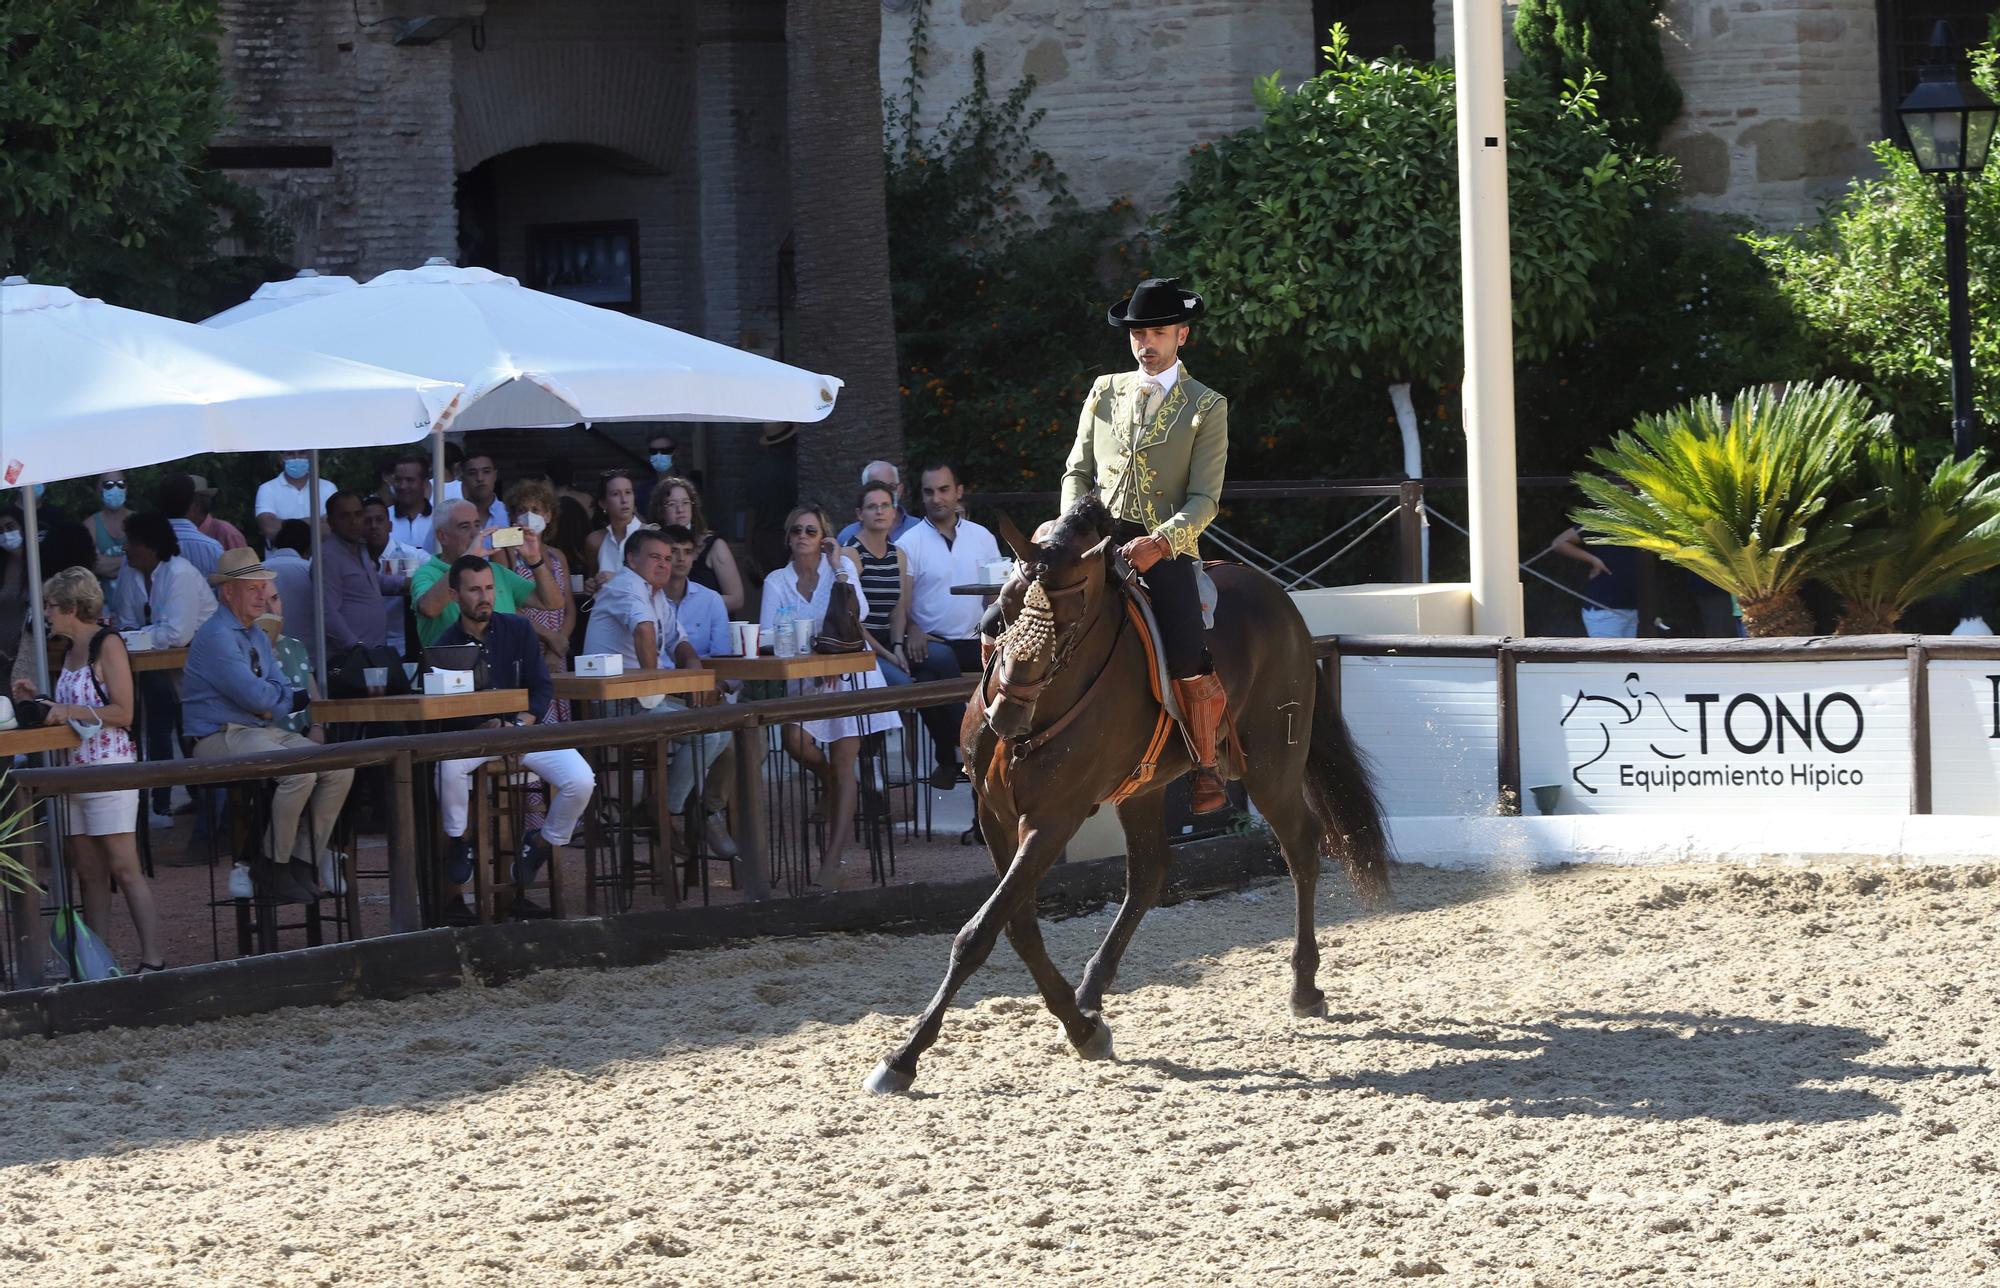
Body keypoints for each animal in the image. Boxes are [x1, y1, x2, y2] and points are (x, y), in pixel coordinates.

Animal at [860, 498, 1392, 1088]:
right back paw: (1091, 993)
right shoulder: (993, 813)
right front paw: (1080, 1027)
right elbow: (1017, 925)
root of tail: (1279, 599)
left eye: (1073, 620)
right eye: (1009, 603)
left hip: (1272, 766)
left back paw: (1303, 986)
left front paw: (903, 1057)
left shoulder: (1053, 819)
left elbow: (978, 933)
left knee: (1300, 845)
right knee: (1149, 873)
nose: (1007, 714)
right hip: (1144, 789)